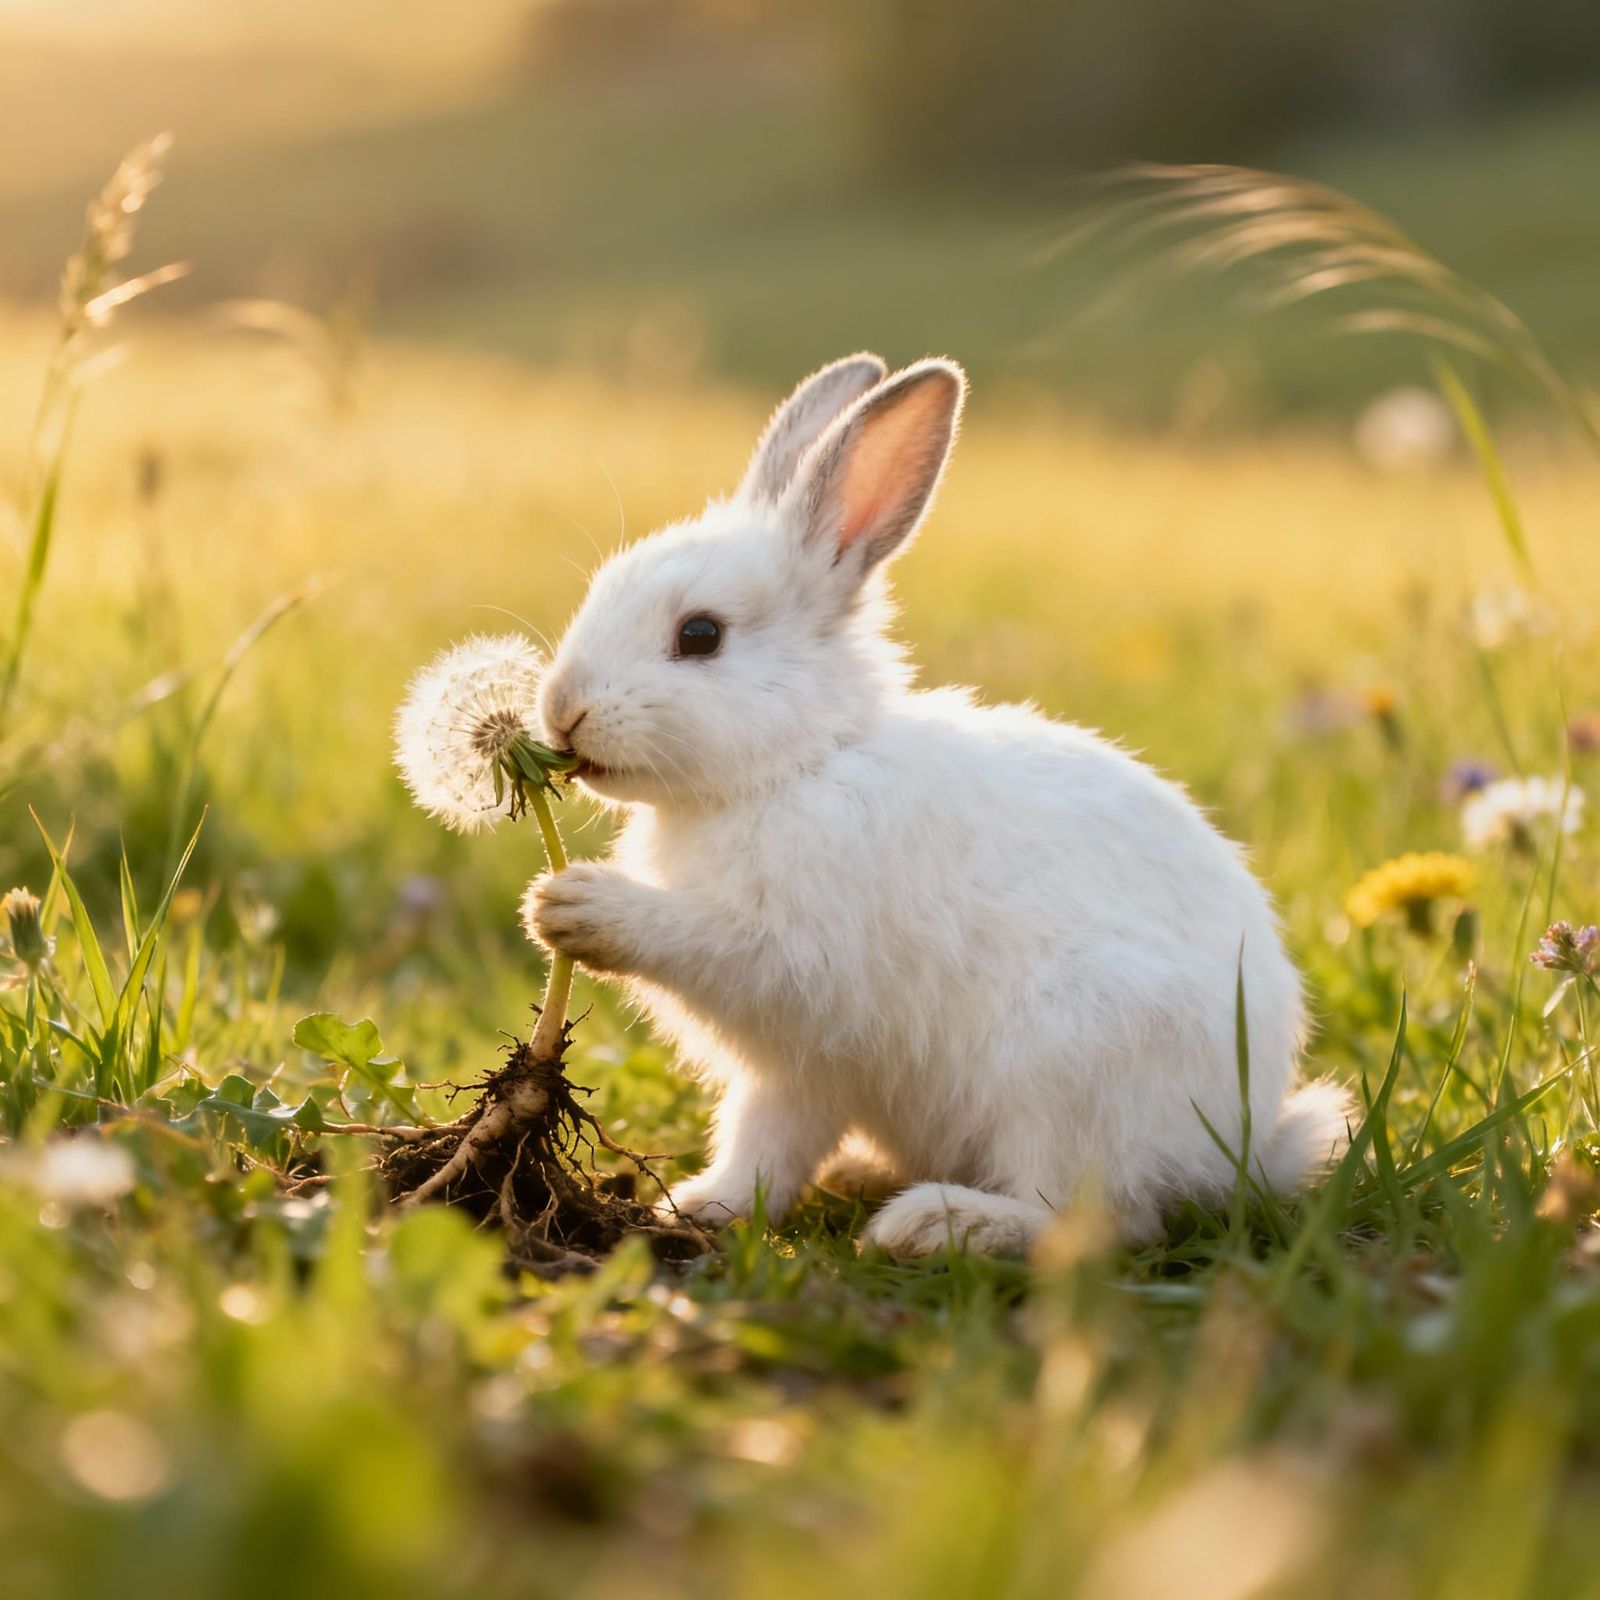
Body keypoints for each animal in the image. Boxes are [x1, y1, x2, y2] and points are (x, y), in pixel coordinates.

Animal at [523, 352, 1352, 1255]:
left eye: (699, 635)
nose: (561, 711)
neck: (801, 762)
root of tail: (1242, 1145)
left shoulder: (790, 957)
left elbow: (706, 950)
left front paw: (571, 905)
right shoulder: (800, 1070)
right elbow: (761, 1148)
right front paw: (695, 1209)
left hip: (1069, 1063)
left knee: (1093, 1220)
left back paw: (932, 1225)